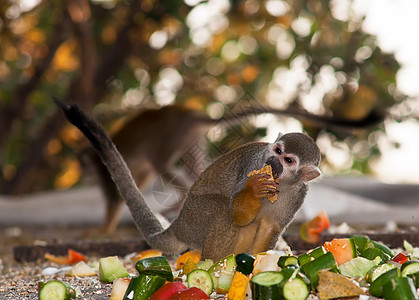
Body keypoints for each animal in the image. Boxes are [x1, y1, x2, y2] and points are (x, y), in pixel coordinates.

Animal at [55, 100, 324, 260]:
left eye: (288, 160)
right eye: (276, 151)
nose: (272, 161)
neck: (283, 184)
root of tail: (179, 224)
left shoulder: (299, 195)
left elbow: (272, 226)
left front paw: (259, 263)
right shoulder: (253, 165)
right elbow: (236, 214)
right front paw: (254, 190)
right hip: (194, 218)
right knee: (220, 209)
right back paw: (213, 262)